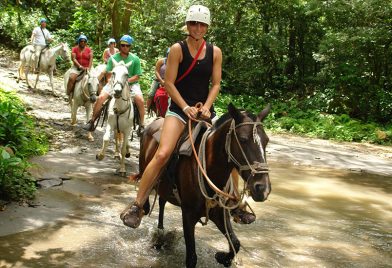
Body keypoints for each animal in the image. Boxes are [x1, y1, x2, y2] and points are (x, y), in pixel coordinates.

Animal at [136, 103, 272, 268]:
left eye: (266, 141)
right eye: (243, 139)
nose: (263, 189)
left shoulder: (219, 213)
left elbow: (235, 243)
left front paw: (223, 258)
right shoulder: (188, 215)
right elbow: (191, 258)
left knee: (162, 201)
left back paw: (161, 233)